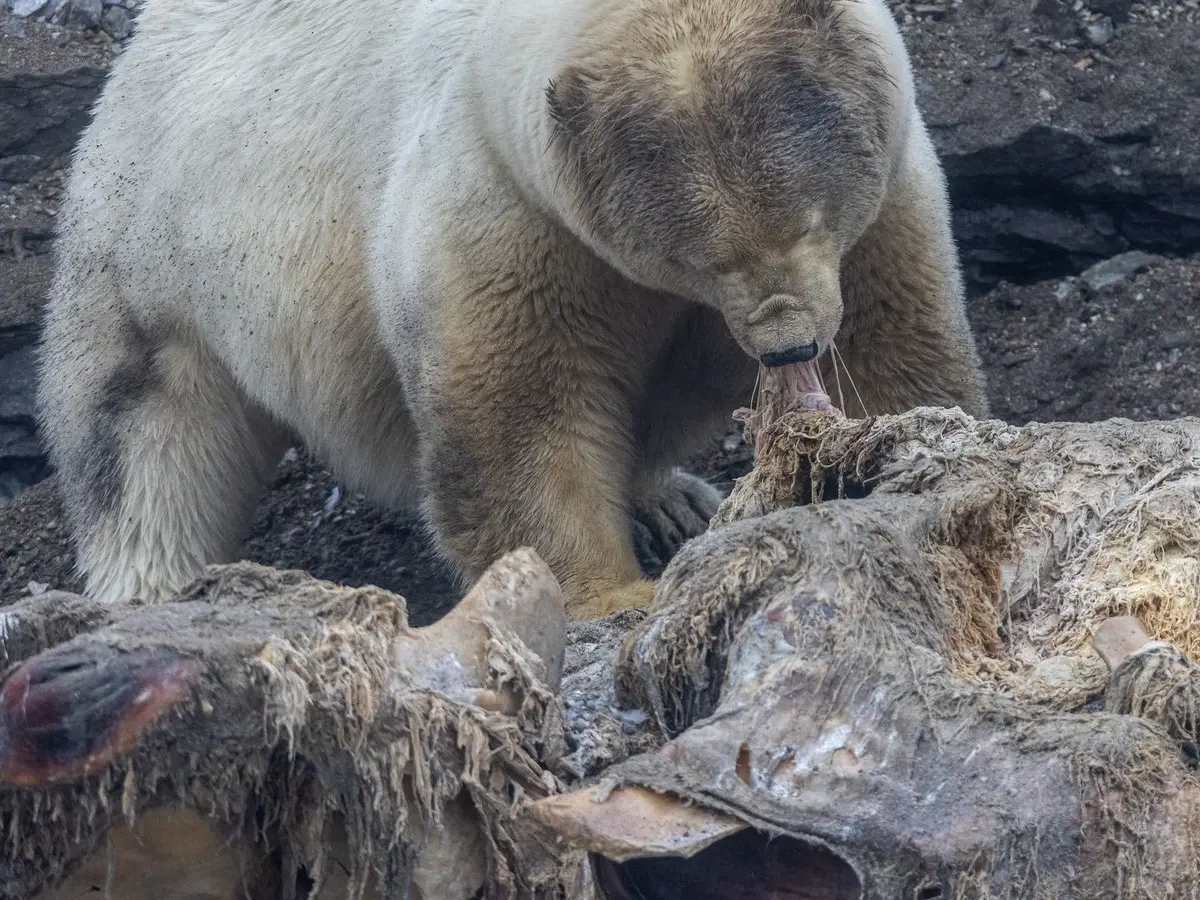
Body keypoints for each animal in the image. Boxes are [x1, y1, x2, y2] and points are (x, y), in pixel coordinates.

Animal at [37, 0, 987, 619]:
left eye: (813, 218)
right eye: (706, 258)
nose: (790, 346)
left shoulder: (887, 195)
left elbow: (893, 351)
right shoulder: (507, 208)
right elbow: (524, 417)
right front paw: (610, 593)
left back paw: (669, 497)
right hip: (153, 244)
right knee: (144, 437)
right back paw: (148, 592)